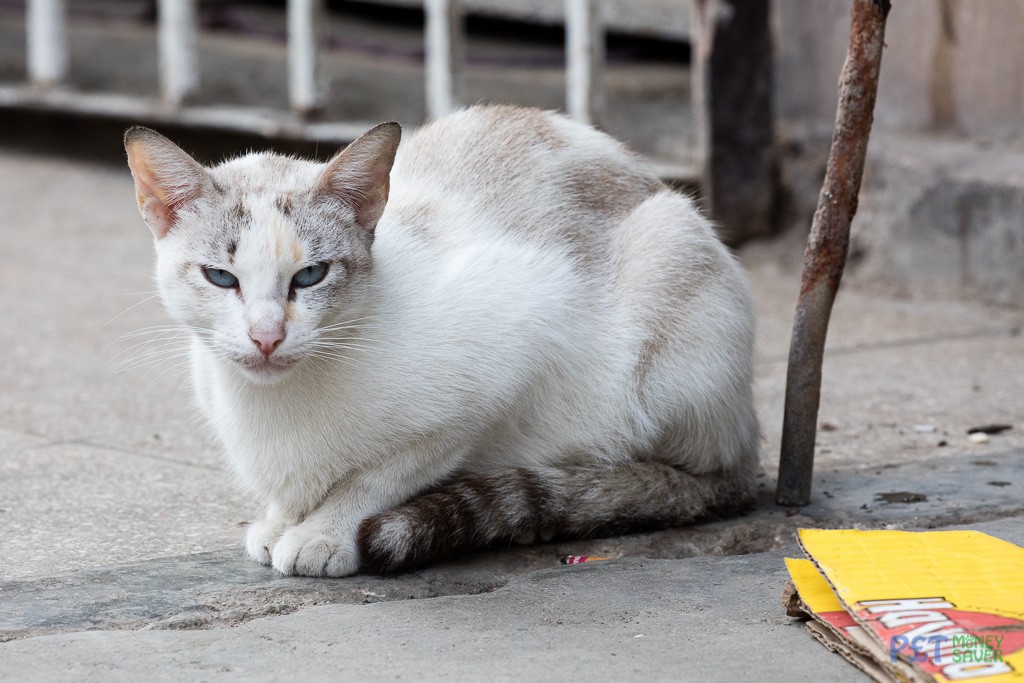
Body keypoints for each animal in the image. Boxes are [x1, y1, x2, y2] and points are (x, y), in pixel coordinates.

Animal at [123, 105, 757, 577]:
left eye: (310, 276)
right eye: (220, 278)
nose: (266, 336)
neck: (272, 409)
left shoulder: (512, 351)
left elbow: (379, 477)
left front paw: (324, 532)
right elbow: (297, 492)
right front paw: (281, 520)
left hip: (669, 248)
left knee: (692, 479)